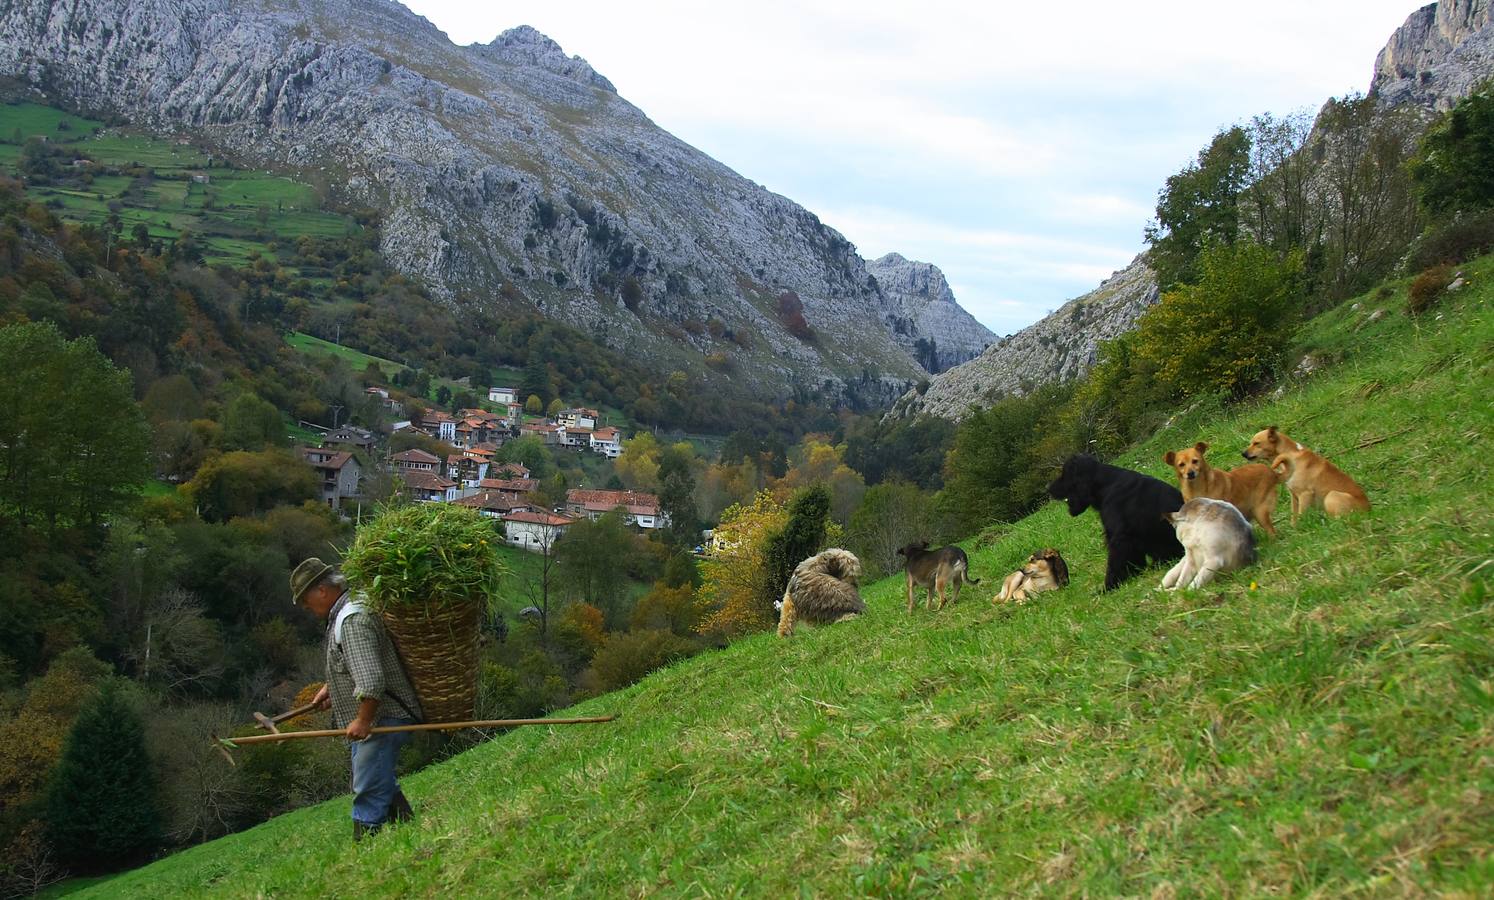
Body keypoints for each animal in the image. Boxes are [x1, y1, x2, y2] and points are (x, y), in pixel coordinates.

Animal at [1045, 454, 1183, 589]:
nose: (1048, 489)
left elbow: (1115, 565)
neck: (1106, 485)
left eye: (1064, 475)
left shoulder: (1120, 538)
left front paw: (1109, 587)